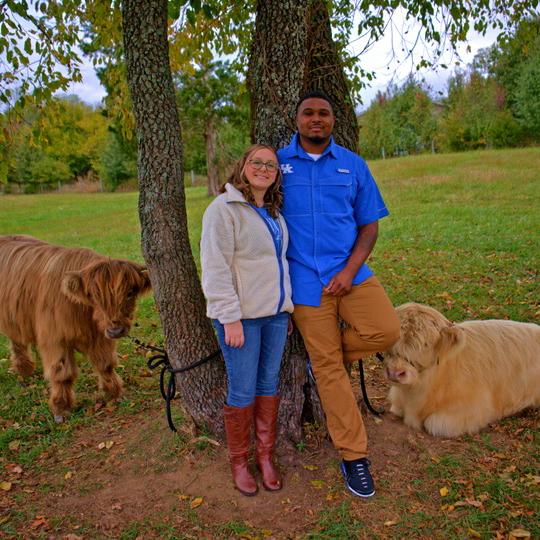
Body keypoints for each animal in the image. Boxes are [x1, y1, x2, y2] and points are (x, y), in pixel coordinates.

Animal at [0, 235, 151, 422]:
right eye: (94, 296)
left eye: (130, 293)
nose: (116, 331)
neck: (82, 311)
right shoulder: (55, 339)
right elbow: (62, 374)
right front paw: (61, 408)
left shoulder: (99, 336)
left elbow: (105, 364)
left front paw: (114, 394)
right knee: (17, 341)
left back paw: (25, 369)